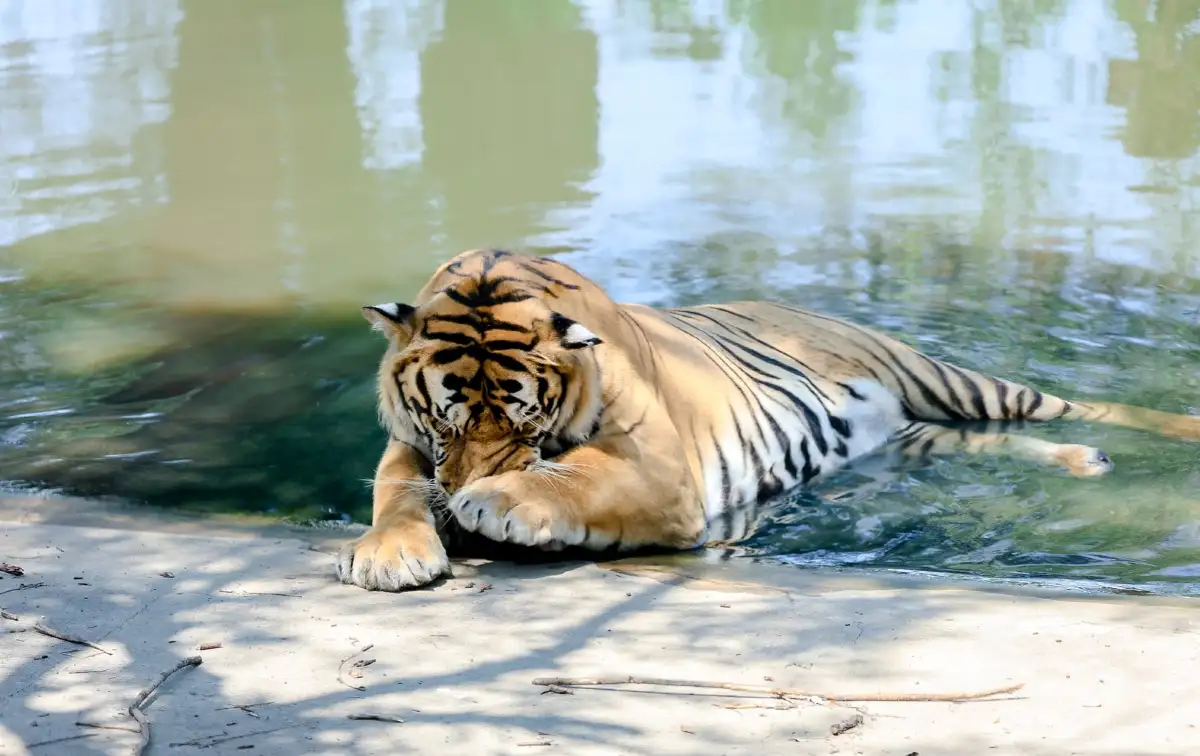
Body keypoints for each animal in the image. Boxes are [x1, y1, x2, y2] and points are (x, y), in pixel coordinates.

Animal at [336, 248, 1199, 591]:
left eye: (524, 422)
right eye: (446, 423)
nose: (465, 494)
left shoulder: (665, 473)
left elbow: (573, 476)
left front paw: (497, 501)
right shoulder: (407, 447)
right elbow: (396, 492)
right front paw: (389, 554)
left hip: (952, 382)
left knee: (1072, 404)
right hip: (914, 438)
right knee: (999, 445)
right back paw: (1087, 461)